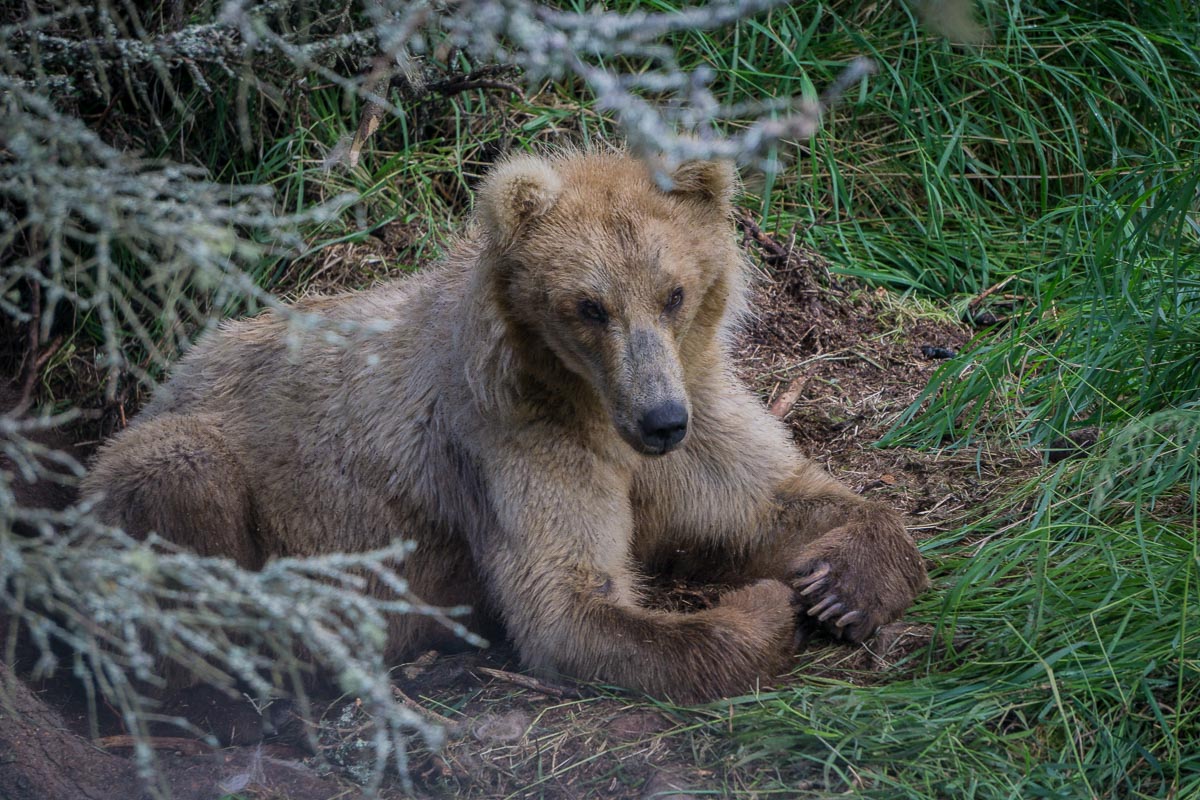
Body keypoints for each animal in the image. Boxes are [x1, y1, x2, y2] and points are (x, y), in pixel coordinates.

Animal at [84, 149, 926, 700]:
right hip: (185, 455)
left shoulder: (698, 413)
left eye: (674, 292)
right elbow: (566, 604)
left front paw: (841, 584)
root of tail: (166, 379)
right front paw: (764, 607)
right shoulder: (511, 441)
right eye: (589, 306)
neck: (593, 404)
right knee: (178, 474)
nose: (659, 420)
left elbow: (768, 498)